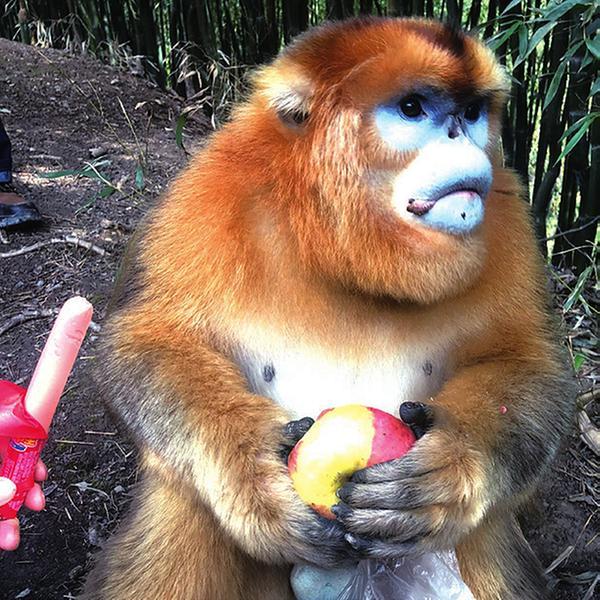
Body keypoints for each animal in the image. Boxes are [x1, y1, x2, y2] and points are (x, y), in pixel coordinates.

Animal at [82, 17, 574, 600]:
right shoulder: (203, 198)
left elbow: (532, 365)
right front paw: (252, 470)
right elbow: (140, 342)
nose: (461, 136)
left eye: (473, 111)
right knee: (184, 504)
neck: (342, 251)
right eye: (413, 108)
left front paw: (451, 464)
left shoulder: (506, 213)